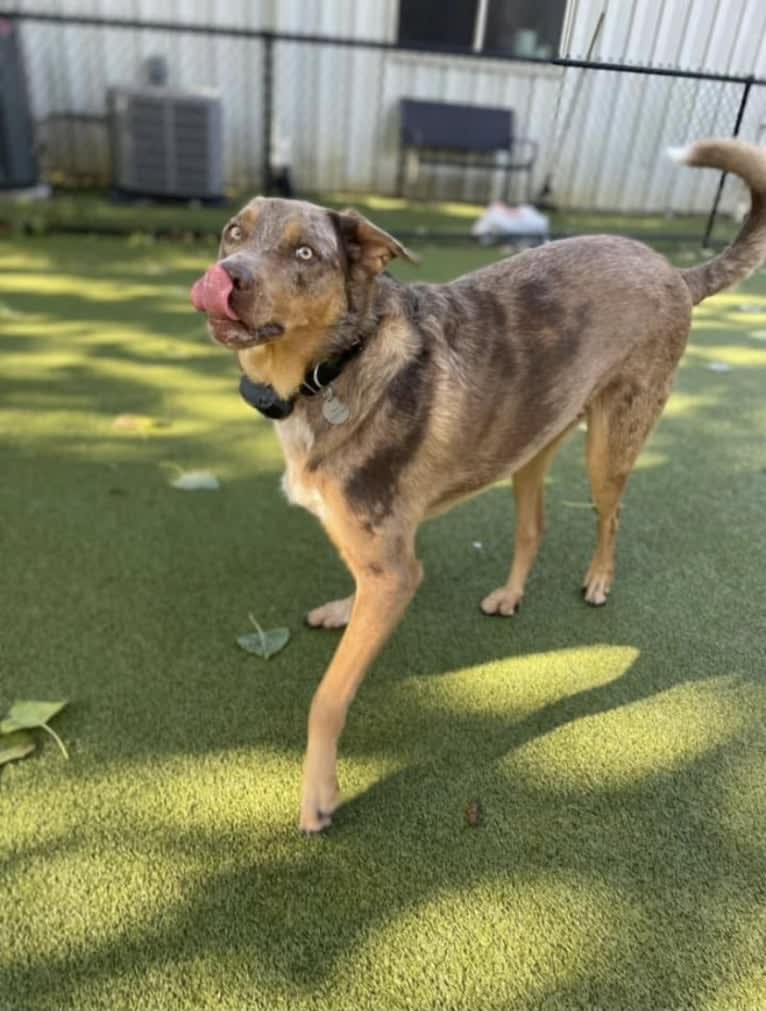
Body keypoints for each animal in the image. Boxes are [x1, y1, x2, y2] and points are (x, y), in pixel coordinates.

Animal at [190, 140, 766, 837]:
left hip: (609, 445)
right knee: (534, 527)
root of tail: (674, 274)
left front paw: (319, 795)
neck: (335, 367)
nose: (226, 279)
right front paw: (344, 610)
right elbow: (357, 593)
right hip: (529, 447)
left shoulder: (396, 572)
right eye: (234, 234)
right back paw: (511, 595)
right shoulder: (376, 558)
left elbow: (327, 699)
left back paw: (600, 579)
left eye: (305, 254)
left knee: (613, 513)